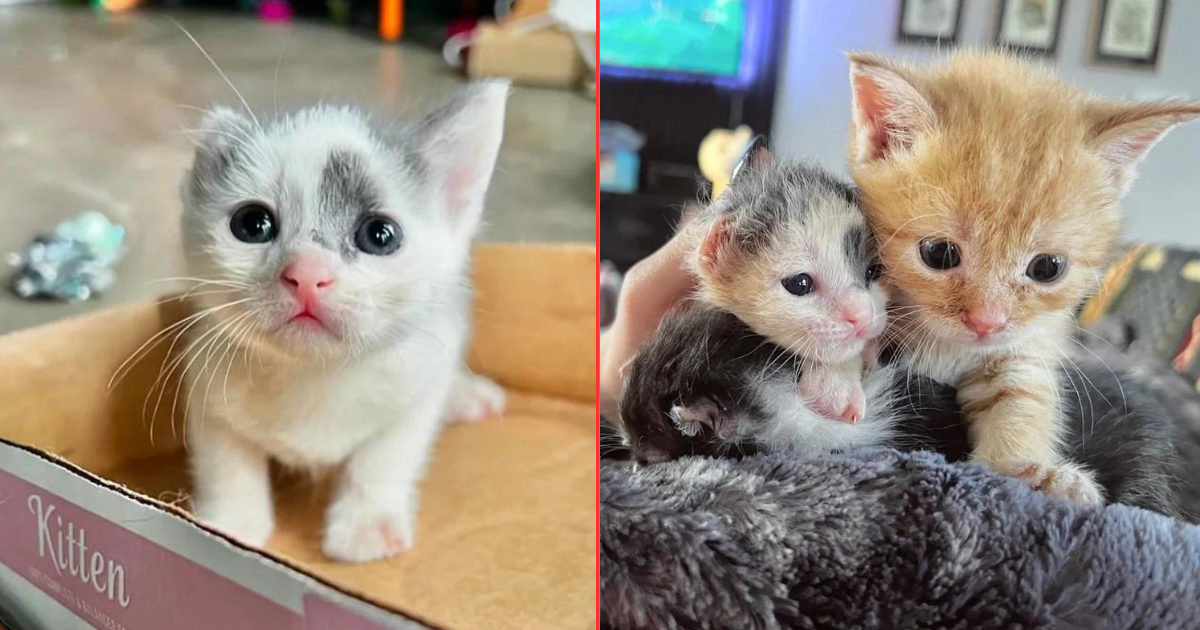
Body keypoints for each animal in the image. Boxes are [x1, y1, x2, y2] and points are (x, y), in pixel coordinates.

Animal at [180, 79, 508, 559]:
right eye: (252, 224)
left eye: (379, 235)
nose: (306, 274)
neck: (316, 376)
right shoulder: (205, 380)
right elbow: (225, 457)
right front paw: (230, 523)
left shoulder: (422, 377)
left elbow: (387, 455)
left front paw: (366, 527)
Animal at [844, 48, 1200, 501]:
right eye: (938, 253)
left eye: (1047, 268)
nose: (986, 322)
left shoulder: (1028, 343)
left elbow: (1022, 396)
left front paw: (1029, 470)